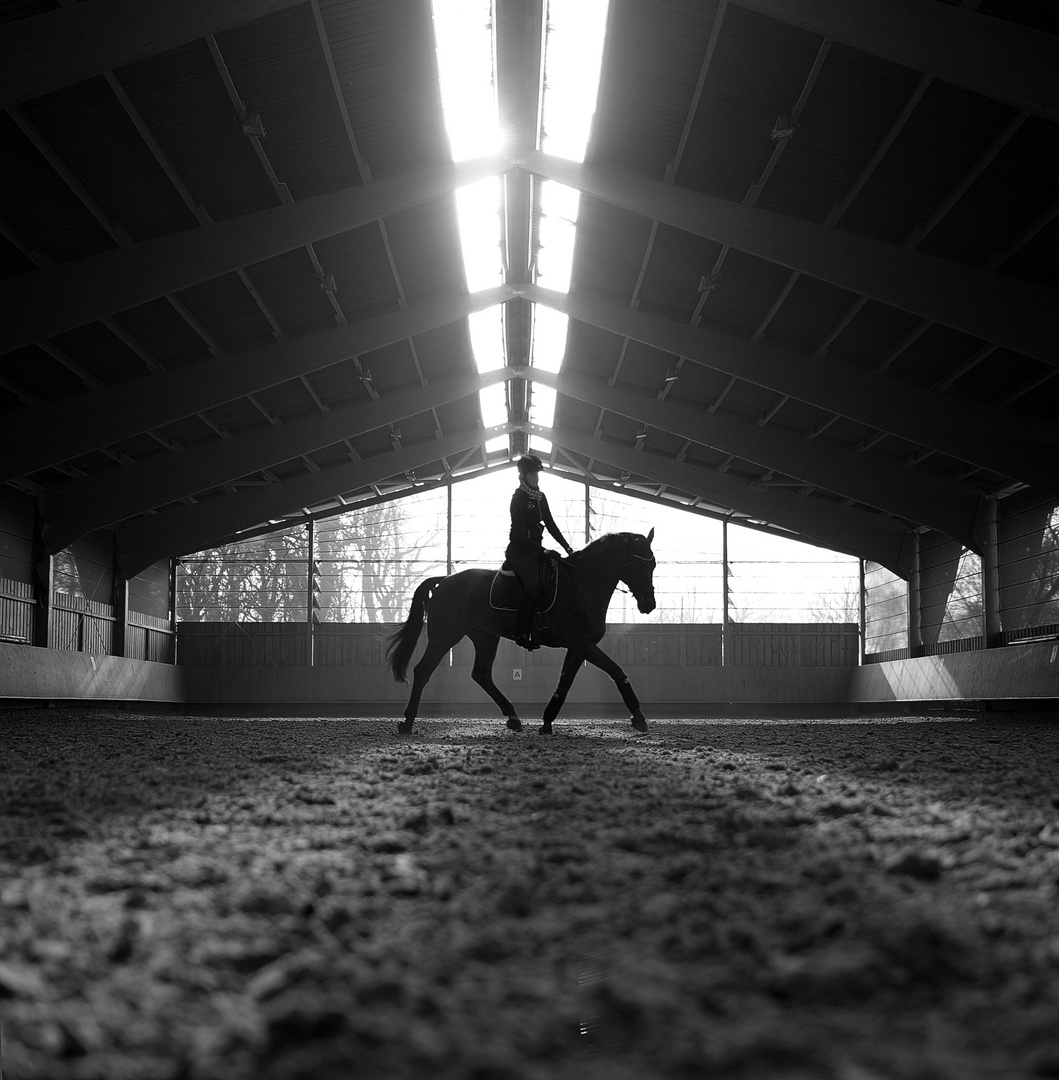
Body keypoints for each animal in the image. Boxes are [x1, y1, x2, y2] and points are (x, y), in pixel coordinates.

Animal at [384, 529, 656, 734]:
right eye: (638, 565)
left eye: (653, 564)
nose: (649, 605)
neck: (580, 585)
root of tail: (444, 580)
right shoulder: (582, 643)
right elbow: (617, 671)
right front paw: (639, 718)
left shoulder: (579, 647)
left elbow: (565, 683)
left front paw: (547, 722)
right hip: (445, 636)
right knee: (423, 670)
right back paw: (407, 722)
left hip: (485, 637)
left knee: (481, 674)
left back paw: (513, 717)